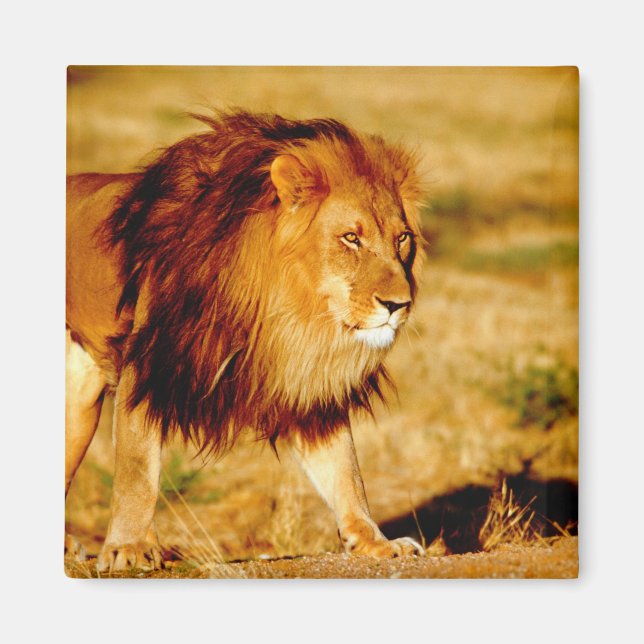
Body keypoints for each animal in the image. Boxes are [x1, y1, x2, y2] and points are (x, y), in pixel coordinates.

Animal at [65, 110, 425, 571]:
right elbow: (137, 470)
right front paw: (127, 548)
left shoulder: (305, 384)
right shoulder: (148, 366)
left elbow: (346, 470)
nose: (400, 304)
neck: (287, 308)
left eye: (402, 239)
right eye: (351, 237)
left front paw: (375, 542)